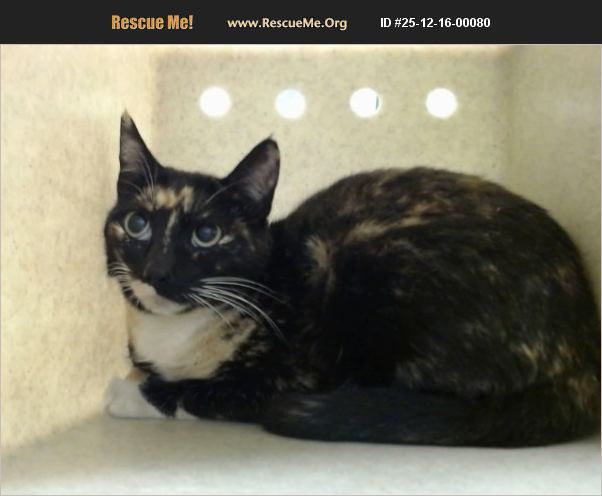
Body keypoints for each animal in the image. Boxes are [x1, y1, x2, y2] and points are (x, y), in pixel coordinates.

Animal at [104, 112, 600, 446]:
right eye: (137, 224)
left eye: (207, 234)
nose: (157, 270)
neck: (176, 332)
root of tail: (583, 353)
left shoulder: (292, 376)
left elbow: (207, 392)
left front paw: (126, 394)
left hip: (367, 260)